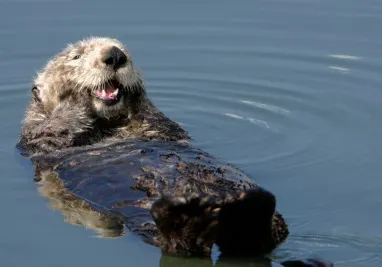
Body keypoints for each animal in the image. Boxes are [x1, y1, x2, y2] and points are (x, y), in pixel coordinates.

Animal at [17, 36, 332, 267]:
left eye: (125, 50)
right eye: (76, 56)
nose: (115, 55)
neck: (109, 127)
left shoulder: (162, 128)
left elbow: (156, 119)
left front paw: (136, 96)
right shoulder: (37, 139)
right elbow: (55, 129)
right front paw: (73, 101)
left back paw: (246, 209)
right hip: (147, 221)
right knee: (184, 247)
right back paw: (188, 219)